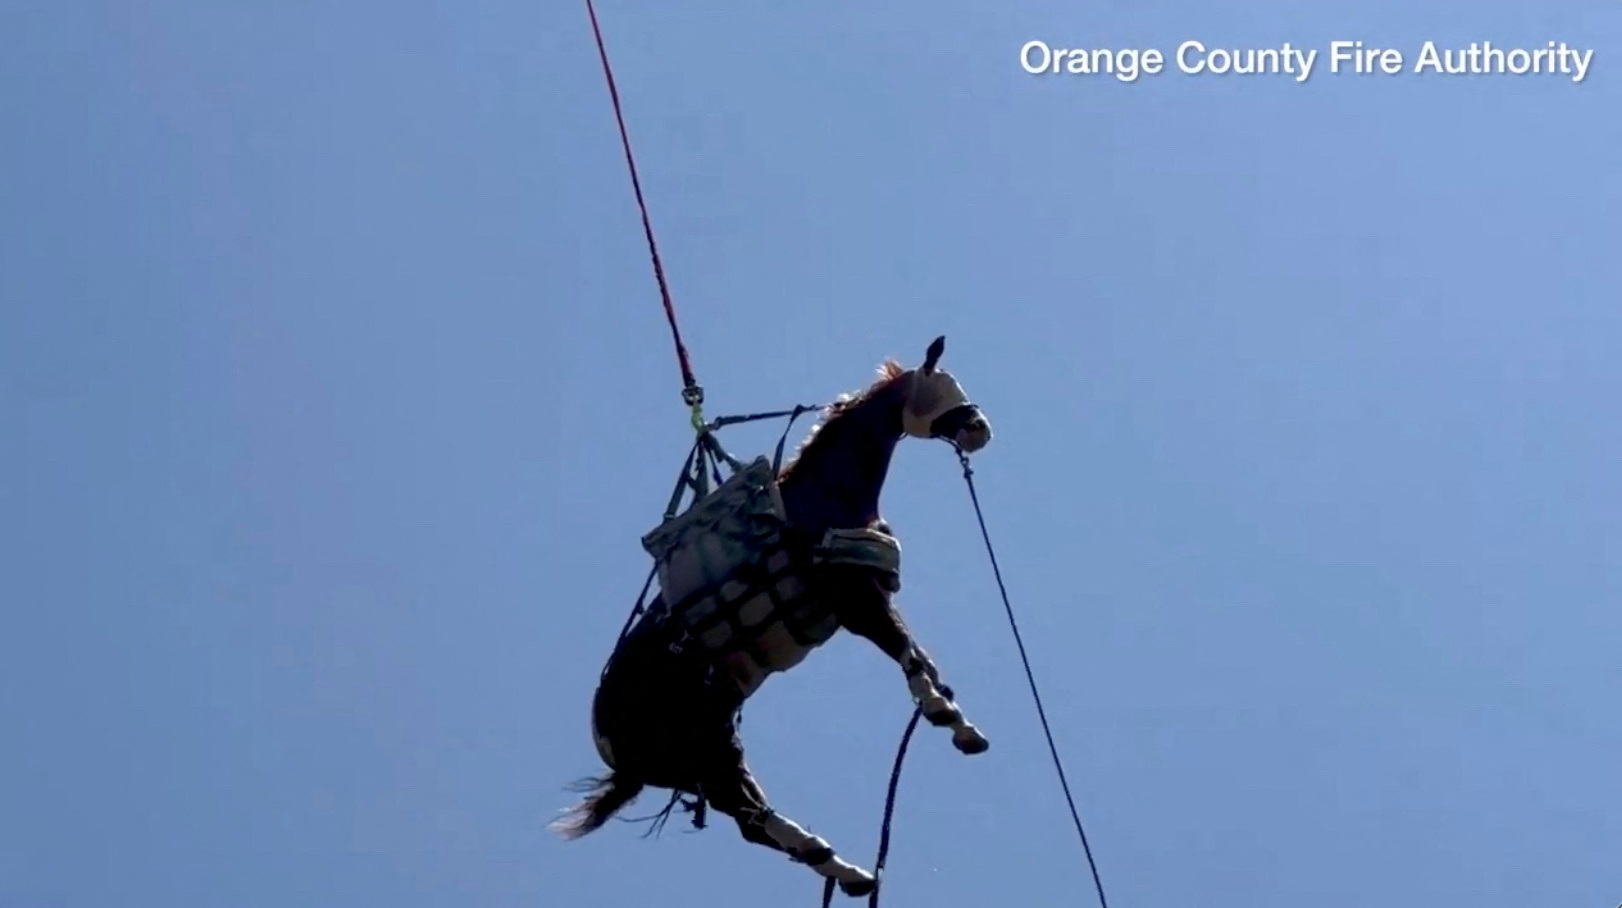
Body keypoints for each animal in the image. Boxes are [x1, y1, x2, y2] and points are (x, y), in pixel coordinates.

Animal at [552, 335, 994, 897]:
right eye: (941, 384)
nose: (978, 427)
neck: (822, 499)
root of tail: (615, 750)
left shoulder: (870, 593)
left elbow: (916, 652)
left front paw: (953, 716)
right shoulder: (853, 599)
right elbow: (904, 653)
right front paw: (944, 714)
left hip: (709, 750)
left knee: (752, 820)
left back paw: (845, 870)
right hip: (703, 757)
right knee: (751, 821)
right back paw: (844, 868)